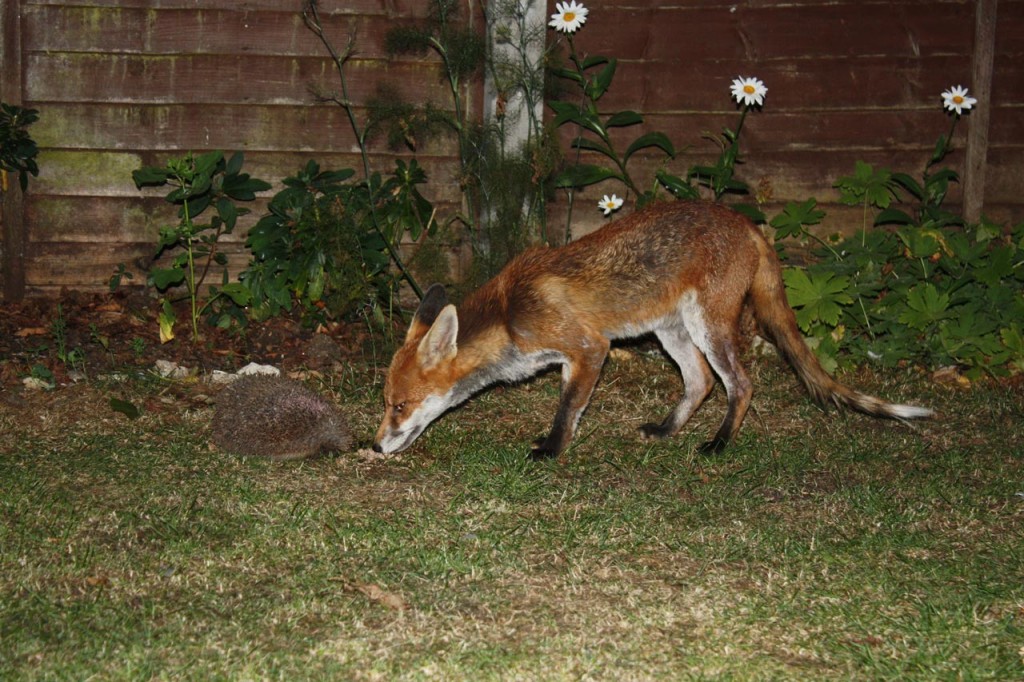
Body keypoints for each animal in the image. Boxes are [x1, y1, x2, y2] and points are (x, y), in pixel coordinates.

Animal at [376, 199, 937, 458]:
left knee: (740, 383)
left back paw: (718, 444)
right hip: (673, 332)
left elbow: (567, 410)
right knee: (701, 382)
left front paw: (552, 450)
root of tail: (747, 223)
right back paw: (668, 430)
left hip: (709, 326)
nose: (375, 445)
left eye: (399, 406)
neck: (510, 315)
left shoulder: (589, 348)